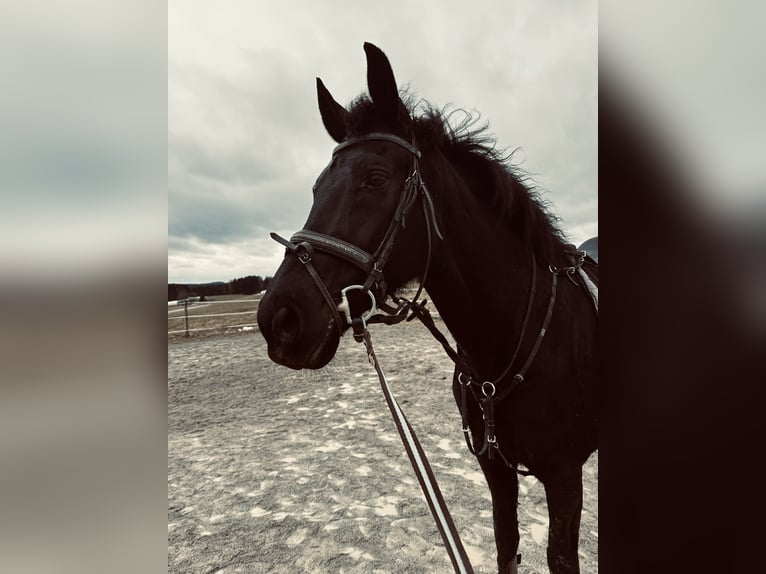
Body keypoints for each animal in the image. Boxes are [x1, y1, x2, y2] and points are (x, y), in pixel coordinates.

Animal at [257, 43, 598, 574]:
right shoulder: (495, 471)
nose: (279, 319)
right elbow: (506, 547)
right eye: (316, 187)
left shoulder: (564, 478)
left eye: (375, 179)